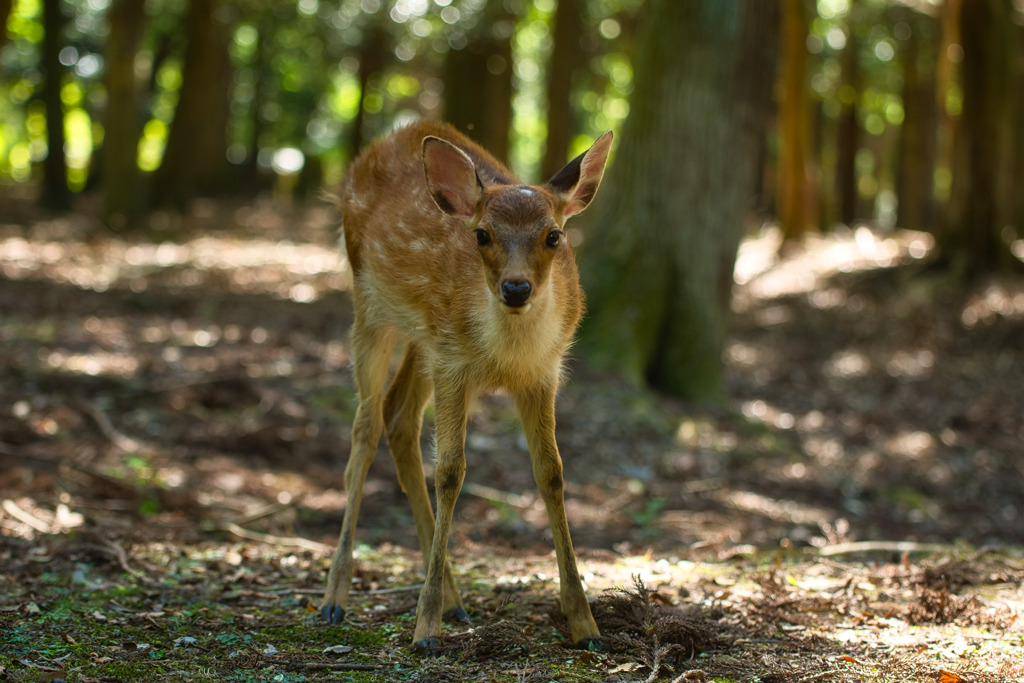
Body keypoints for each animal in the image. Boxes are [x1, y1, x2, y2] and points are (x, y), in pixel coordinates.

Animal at [321, 120, 606, 655]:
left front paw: (586, 624)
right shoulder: (453, 362)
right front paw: (424, 630)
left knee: (398, 416)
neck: (506, 359)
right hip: (370, 305)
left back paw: (456, 601)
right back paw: (335, 599)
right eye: (482, 234)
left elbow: (552, 473)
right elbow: (452, 472)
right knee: (365, 427)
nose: (516, 288)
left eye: (554, 235)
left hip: (422, 340)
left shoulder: (543, 372)